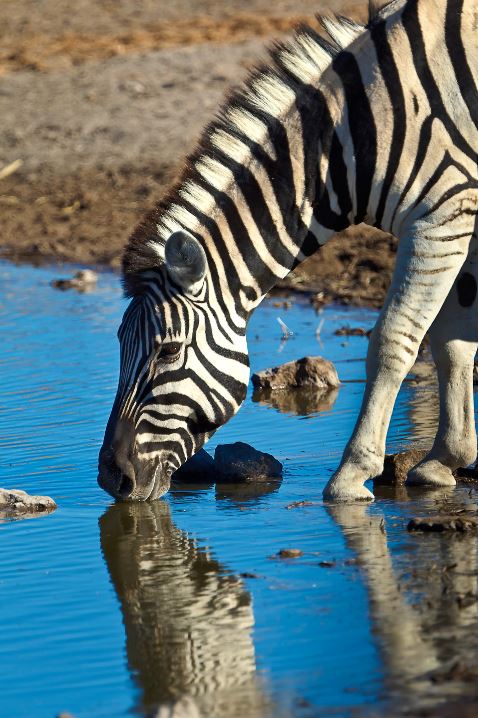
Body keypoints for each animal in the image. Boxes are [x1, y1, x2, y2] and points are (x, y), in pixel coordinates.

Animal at [97, 0, 478, 504]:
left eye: (169, 351)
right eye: (121, 345)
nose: (109, 477)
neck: (352, 137)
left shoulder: (442, 216)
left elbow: (394, 339)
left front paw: (352, 474)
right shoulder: (464, 216)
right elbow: (453, 341)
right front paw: (445, 460)